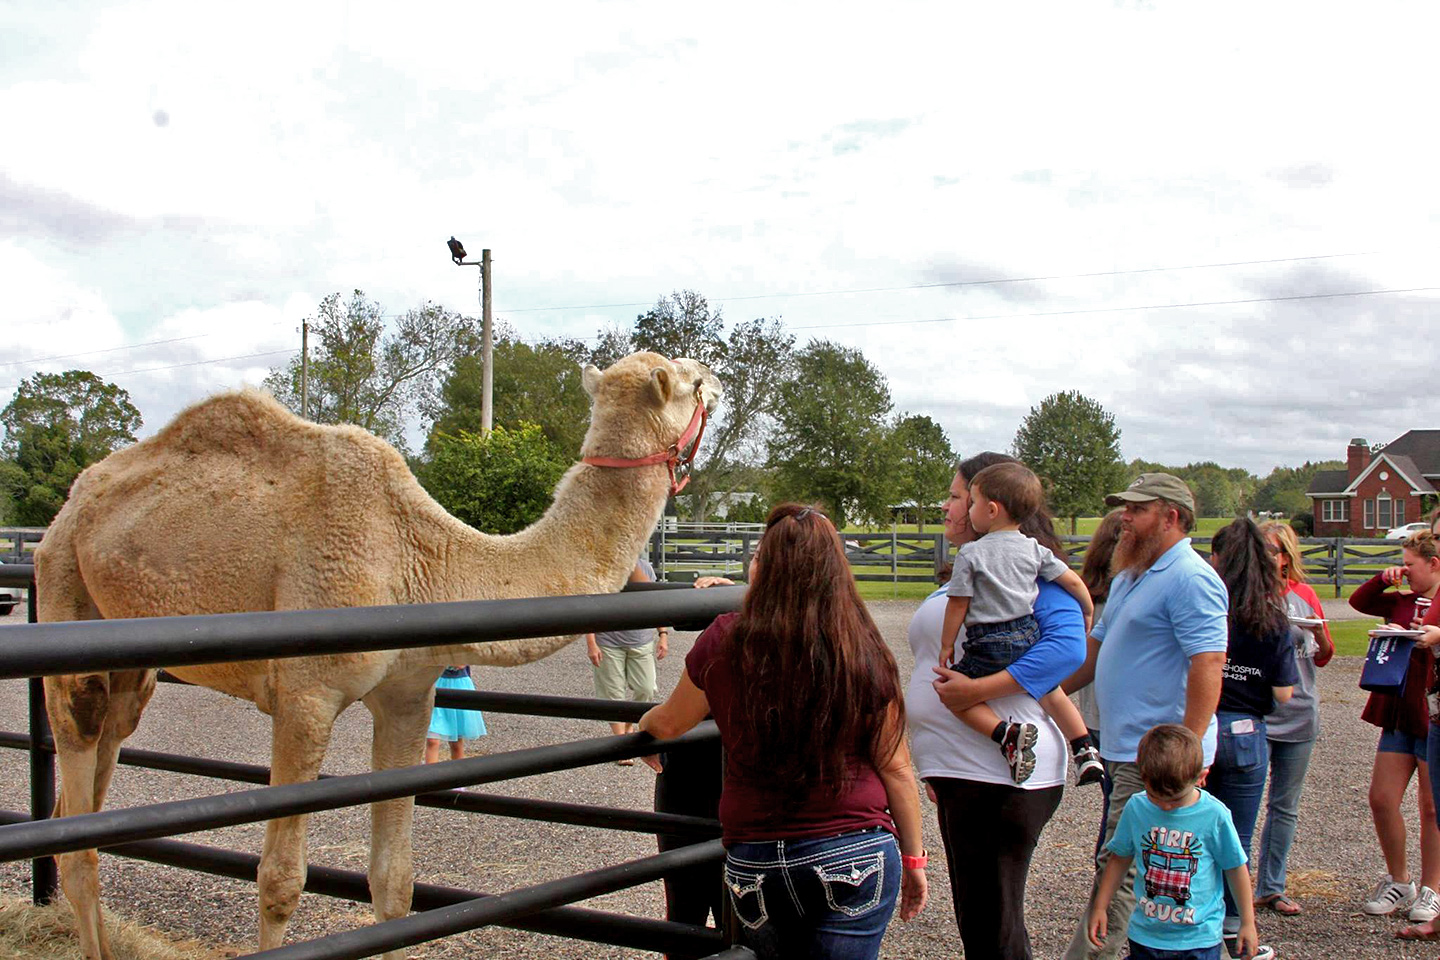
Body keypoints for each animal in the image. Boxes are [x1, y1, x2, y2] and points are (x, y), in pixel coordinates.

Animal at [36, 352, 720, 960]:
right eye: (690, 379)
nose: (719, 380)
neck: (424, 560)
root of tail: (74, 500)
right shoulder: (306, 697)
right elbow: (280, 882)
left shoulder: (407, 695)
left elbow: (394, 885)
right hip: (63, 584)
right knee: (78, 784)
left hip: (128, 658)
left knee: (87, 796)